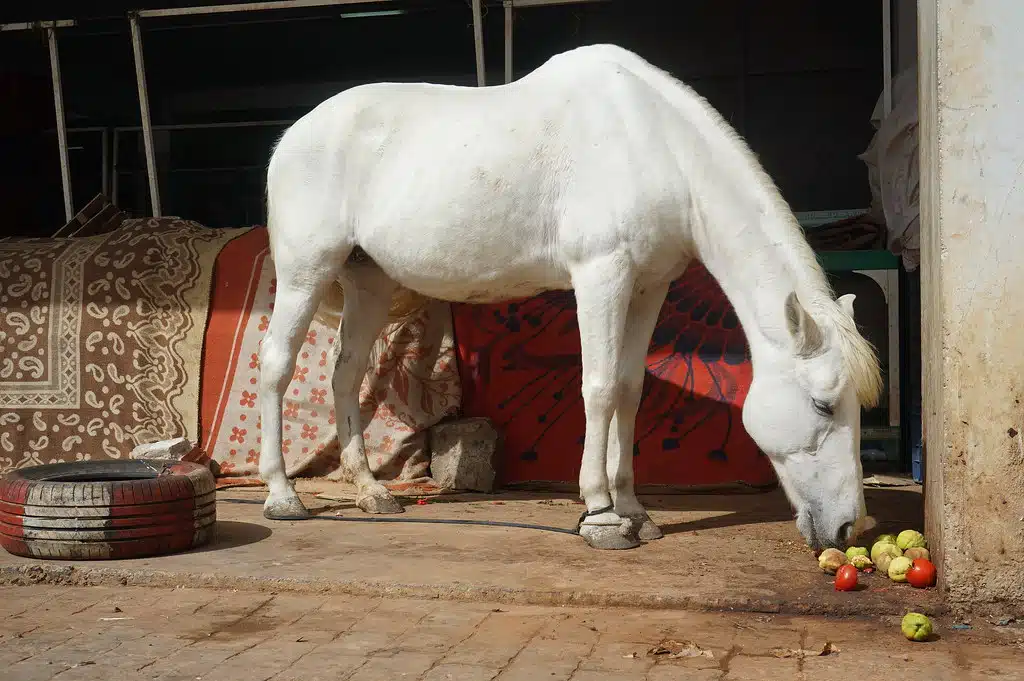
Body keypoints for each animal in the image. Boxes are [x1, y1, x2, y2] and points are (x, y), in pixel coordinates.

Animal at [257, 43, 883, 552]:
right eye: (823, 405)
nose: (848, 528)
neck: (654, 145)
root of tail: (292, 136)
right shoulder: (601, 276)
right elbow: (599, 389)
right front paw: (601, 516)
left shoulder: (649, 286)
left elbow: (629, 391)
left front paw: (635, 512)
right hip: (305, 273)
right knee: (277, 366)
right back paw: (282, 495)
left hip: (368, 281)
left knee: (345, 374)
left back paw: (370, 492)